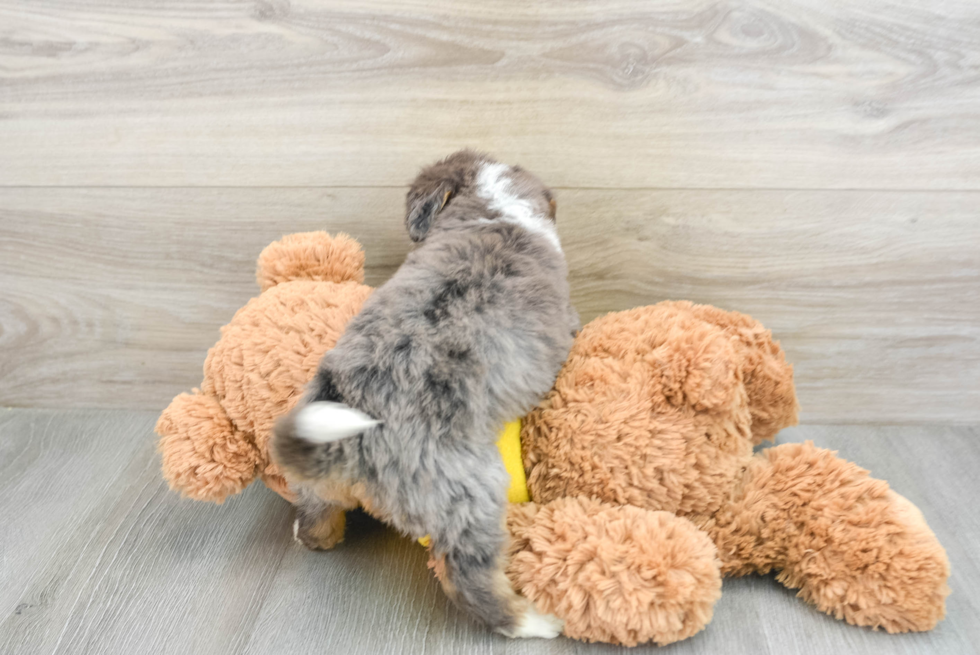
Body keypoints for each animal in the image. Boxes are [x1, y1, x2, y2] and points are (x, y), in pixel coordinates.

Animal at [272, 151, 580, 640]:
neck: (491, 210)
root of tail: (354, 444)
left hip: (312, 454)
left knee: (314, 511)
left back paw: (318, 536)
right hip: (471, 497)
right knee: (469, 578)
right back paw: (532, 621)